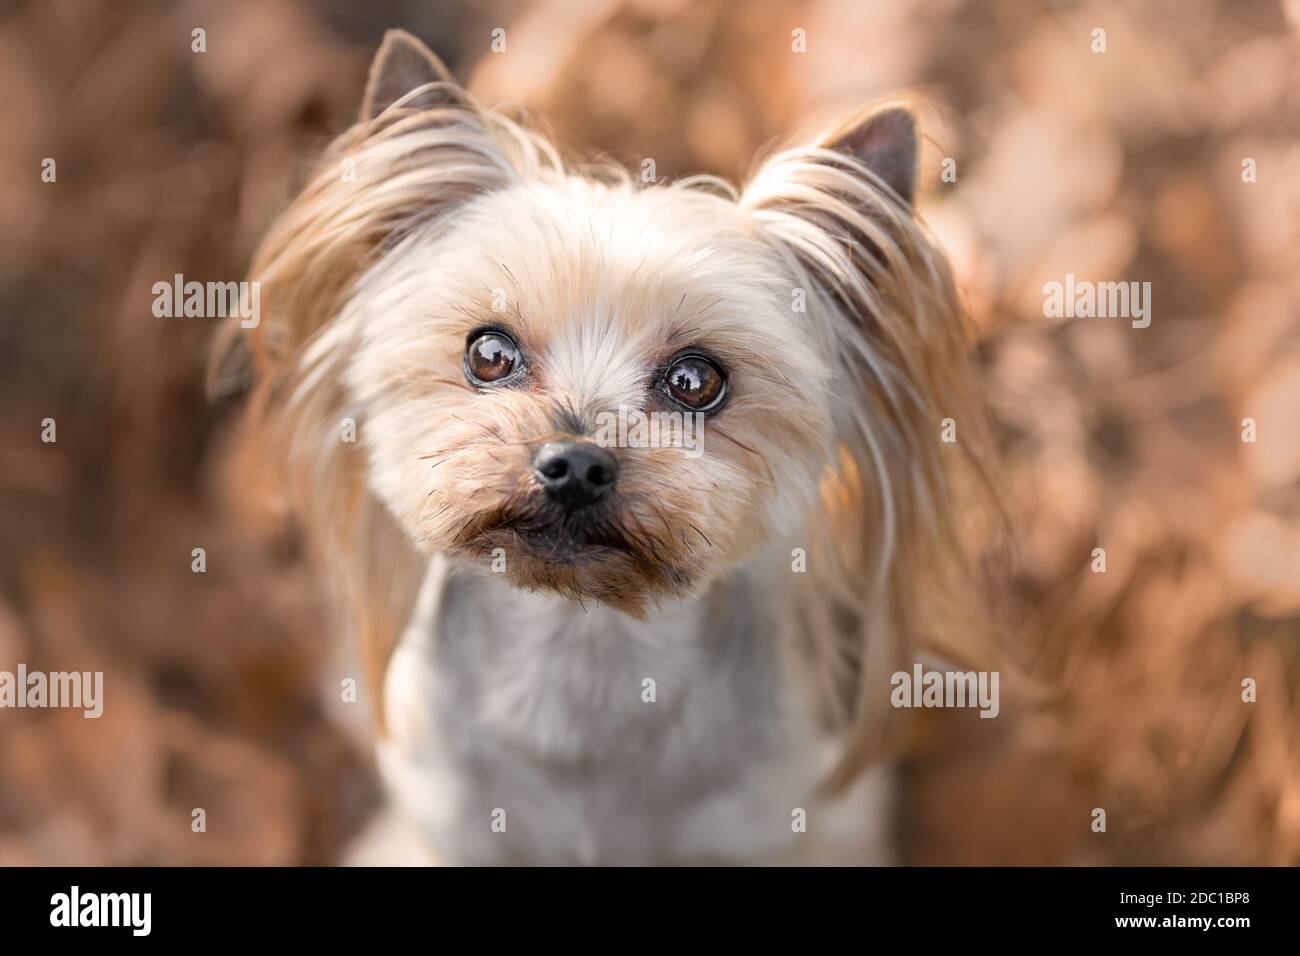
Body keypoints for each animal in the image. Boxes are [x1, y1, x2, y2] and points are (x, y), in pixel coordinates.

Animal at [215, 29, 993, 868]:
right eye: (489, 354)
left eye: (695, 379)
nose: (577, 466)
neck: (581, 649)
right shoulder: (456, 823)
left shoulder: (779, 822)